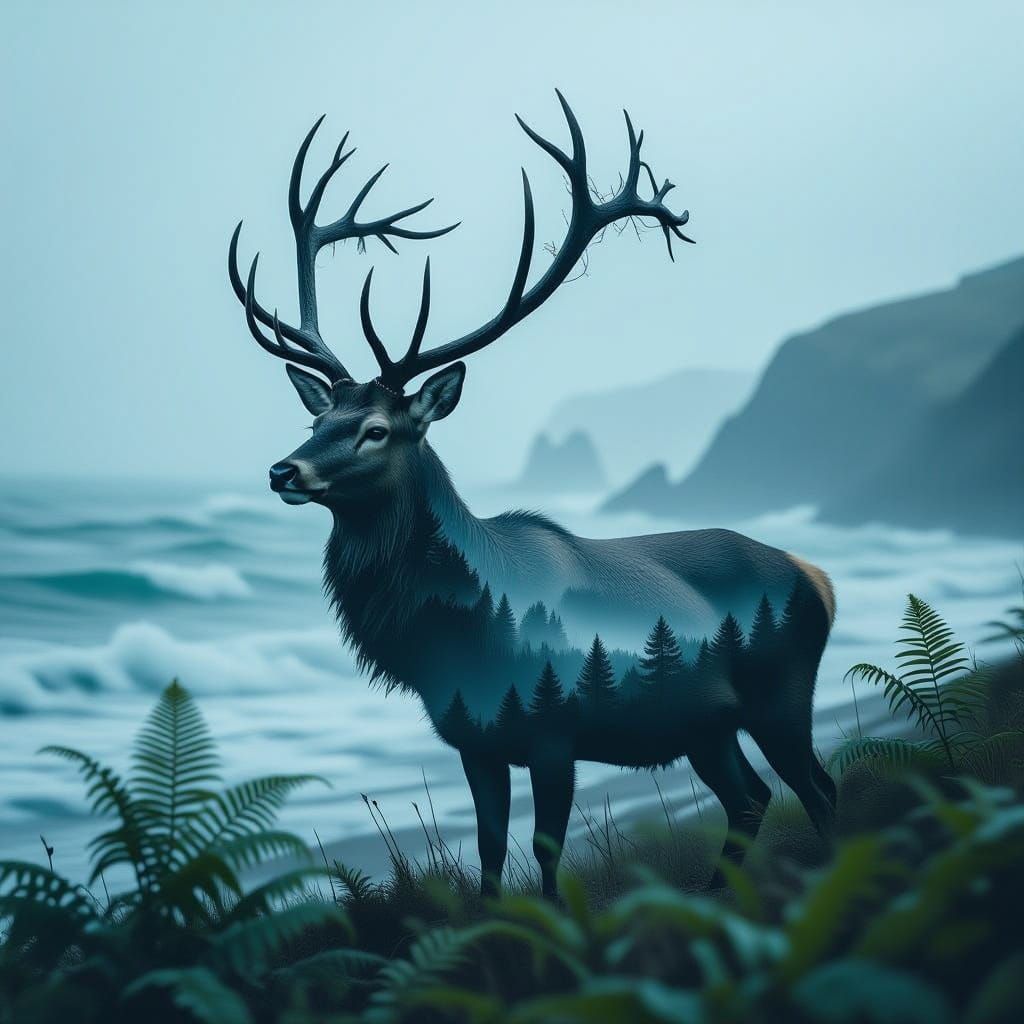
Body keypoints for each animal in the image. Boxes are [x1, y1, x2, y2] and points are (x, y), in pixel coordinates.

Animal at [228, 92, 837, 900]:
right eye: (317, 418)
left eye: (377, 430)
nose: (284, 472)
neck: (459, 636)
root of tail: (817, 576)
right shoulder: (475, 739)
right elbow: (491, 854)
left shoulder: (554, 729)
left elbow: (547, 857)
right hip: (706, 724)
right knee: (752, 797)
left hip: (781, 692)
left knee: (816, 788)